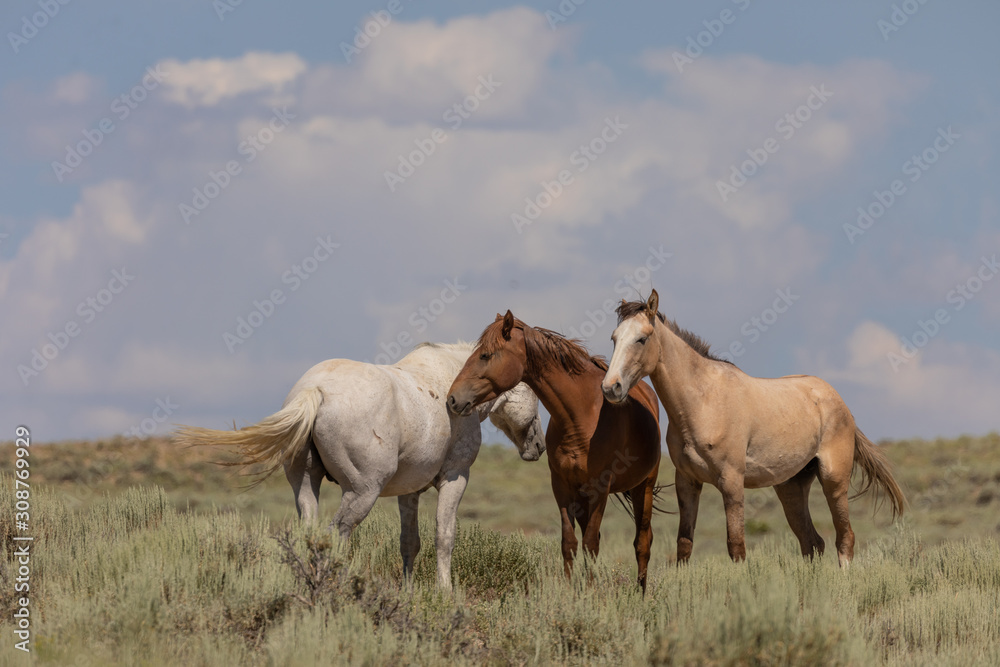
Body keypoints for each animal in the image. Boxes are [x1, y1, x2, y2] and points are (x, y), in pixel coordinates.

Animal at [175, 342, 544, 588]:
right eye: (535, 392)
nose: (539, 445)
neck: (452, 381)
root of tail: (314, 390)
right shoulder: (455, 478)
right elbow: (444, 536)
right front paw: (445, 592)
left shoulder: (409, 492)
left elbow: (410, 542)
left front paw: (409, 592)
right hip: (362, 493)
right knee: (335, 535)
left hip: (305, 485)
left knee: (311, 532)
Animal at [450, 310, 660, 592]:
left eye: (485, 355)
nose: (452, 398)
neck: (582, 416)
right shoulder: (561, 486)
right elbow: (570, 543)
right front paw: (571, 592)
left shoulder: (600, 489)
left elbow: (591, 544)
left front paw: (589, 593)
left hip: (643, 488)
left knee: (642, 542)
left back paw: (641, 593)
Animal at [600, 292, 908, 568]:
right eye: (614, 338)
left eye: (642, 338)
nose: (610, 387)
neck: (703, 402)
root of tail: (838, 401)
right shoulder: (687, 482)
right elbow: (684, 546)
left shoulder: (732, 481)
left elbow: (736, 546)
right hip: (791, 488)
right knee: (812, 542)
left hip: (834, 481)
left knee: (844, 539)